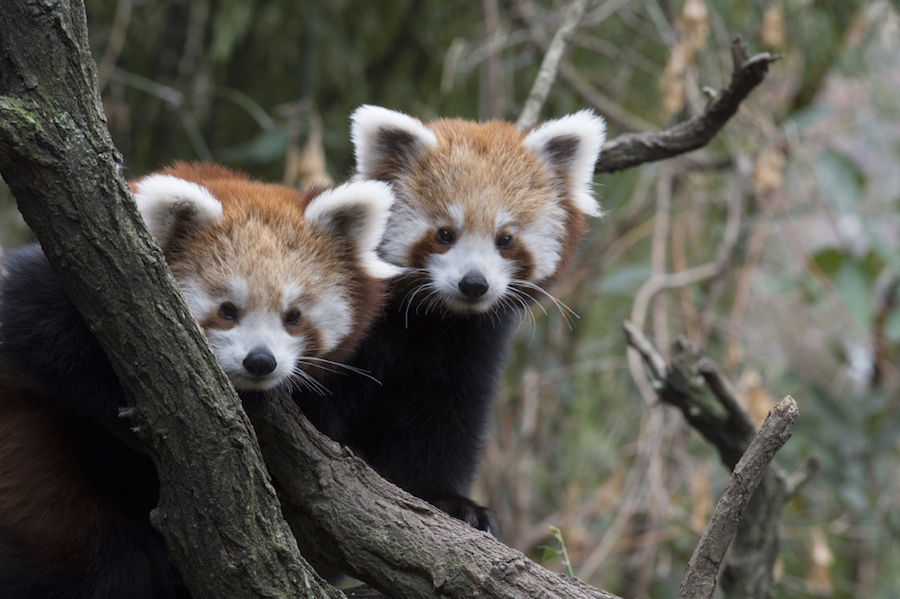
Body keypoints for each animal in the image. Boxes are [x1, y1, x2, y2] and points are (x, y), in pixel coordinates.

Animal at [0, 164, 398, 599]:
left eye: (293, 316)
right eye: (228, 311)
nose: (261, 362)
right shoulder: (58, 284)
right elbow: (46, 343)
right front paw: (129, 418)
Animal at [294, 105, 604, 536]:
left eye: (505, 240)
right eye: (444, 234)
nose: (474, 283)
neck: (430, 319)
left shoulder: (470, 344)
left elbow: (445, 418)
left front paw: (450, 501)